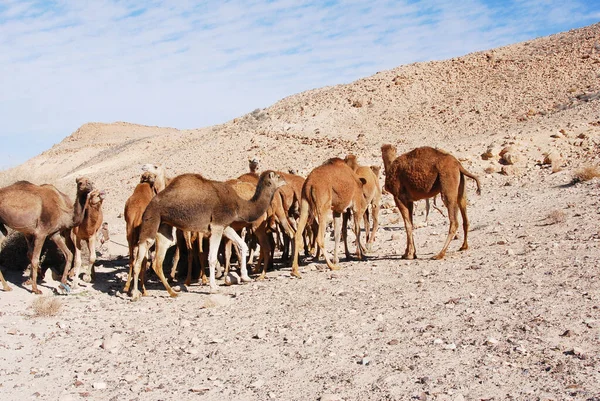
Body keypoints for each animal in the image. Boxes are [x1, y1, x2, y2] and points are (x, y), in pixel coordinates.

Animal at [128, 170, 286, 300]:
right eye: (278, 176)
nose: (285, 180)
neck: (239, 204)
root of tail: (149, 205)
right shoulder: (217, 225)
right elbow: (212, 257)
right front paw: (213, 288)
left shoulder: (225, 226)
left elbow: (242, 246)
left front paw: (246, 277)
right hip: (151, 220)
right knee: (142, 255)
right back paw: (137, 294)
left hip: (164, 228)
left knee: (156, 261)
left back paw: (169, 292)